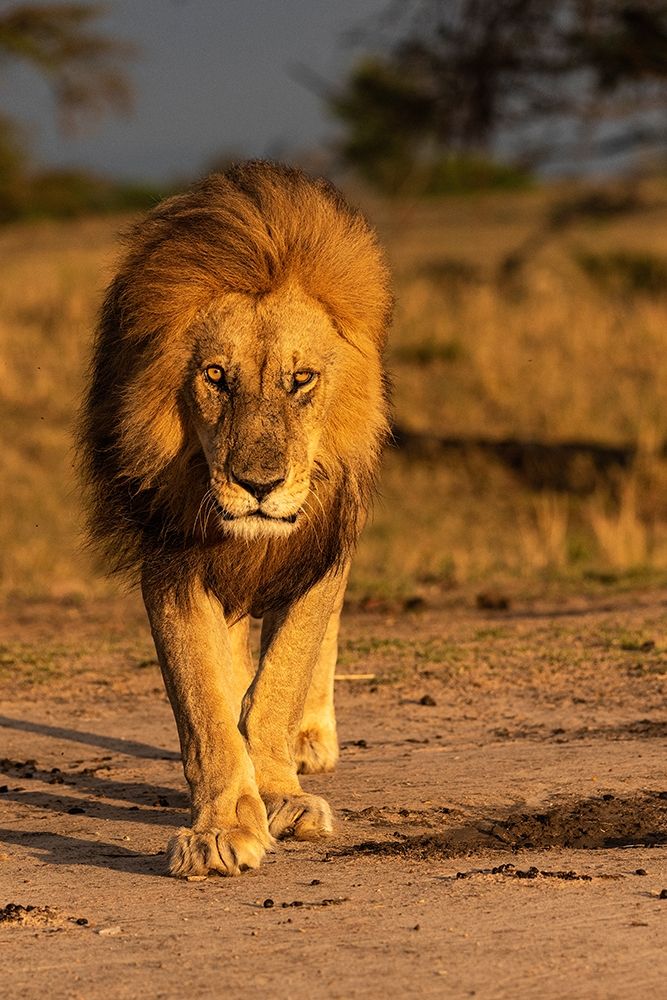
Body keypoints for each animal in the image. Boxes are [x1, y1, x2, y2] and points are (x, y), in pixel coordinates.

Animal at [78, 160, 392, 877]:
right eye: (216, 376)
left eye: (301, 379)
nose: (259, 486)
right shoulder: (172, 561)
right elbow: (204, 700)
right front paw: (223, 826)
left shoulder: (319, 551)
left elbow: (282, 678)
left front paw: (280, 792)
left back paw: (311, 738)